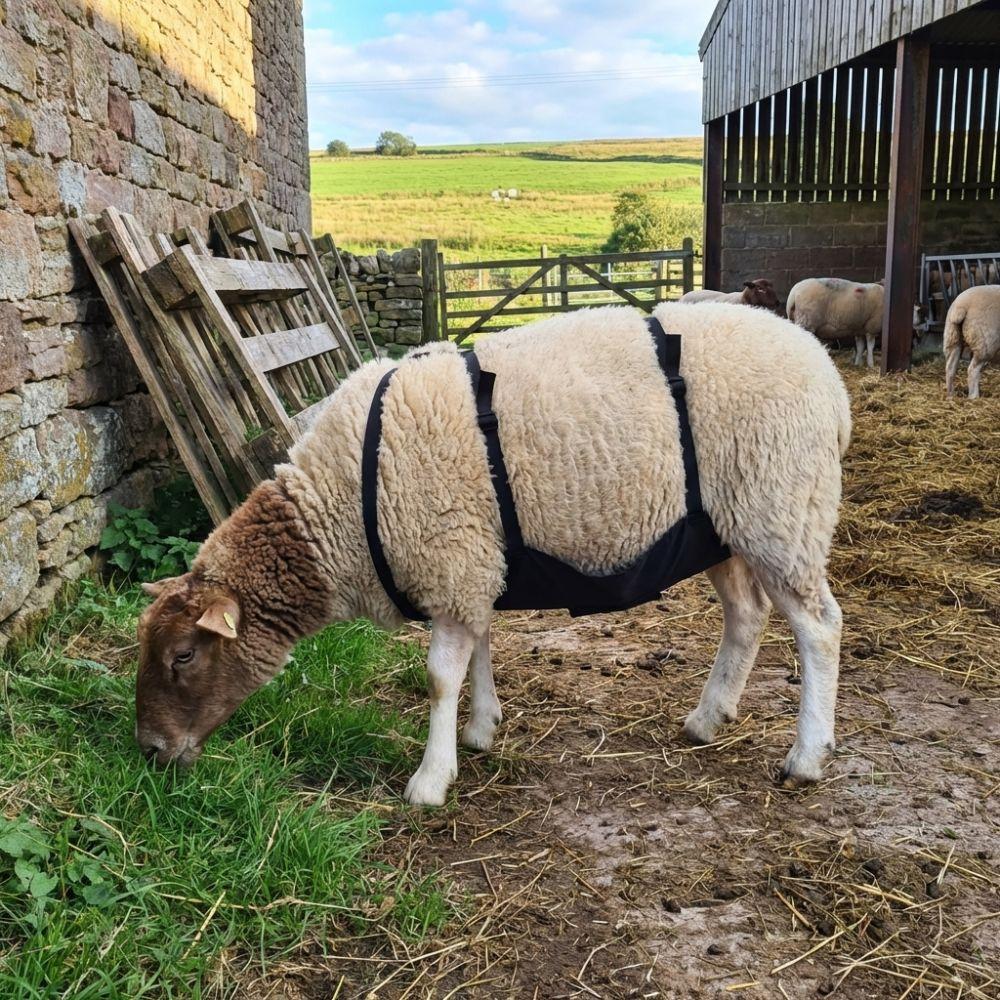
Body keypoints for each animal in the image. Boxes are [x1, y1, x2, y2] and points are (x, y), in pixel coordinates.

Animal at [134, 302, 851, 806]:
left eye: (184, 656)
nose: (149, 751)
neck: (341, 508)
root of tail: (828, 375)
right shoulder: (471, 564)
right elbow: (478, 649)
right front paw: (481, 729)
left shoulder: (452, 558)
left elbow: (438, 676)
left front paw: (430, 780)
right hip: (723, 529)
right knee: (746, 616)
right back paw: (707, 718)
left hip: (782, 508)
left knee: (819, 626)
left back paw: (806, 756)